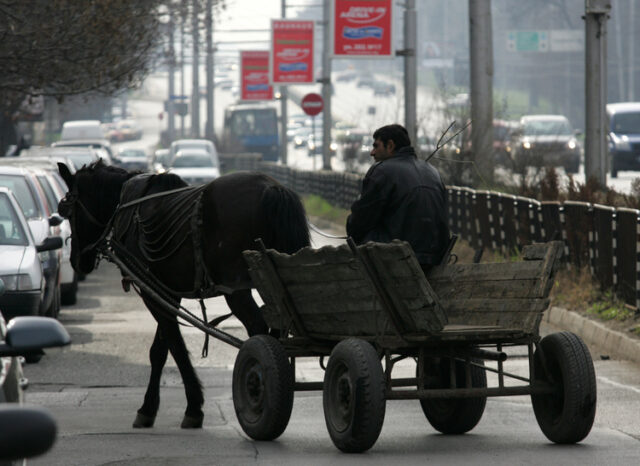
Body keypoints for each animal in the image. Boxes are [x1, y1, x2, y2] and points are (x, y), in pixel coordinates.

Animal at [57, 161, 310, 430]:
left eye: (70, 210)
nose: (77, 261)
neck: (126, 204)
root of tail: (271, 188)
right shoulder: (166, 292)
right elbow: (160, 350)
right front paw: (151, 407)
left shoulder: (152, 293)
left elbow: (175, 346)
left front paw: (190, 407)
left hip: (237, 291)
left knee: (259, 332)